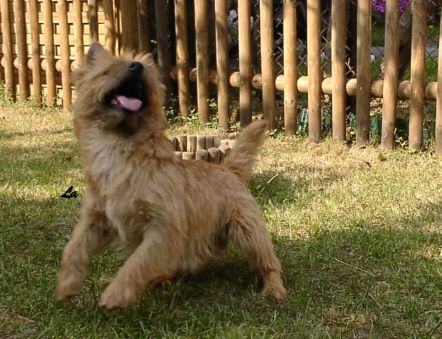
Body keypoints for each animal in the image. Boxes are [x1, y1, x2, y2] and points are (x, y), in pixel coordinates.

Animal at [56, 41, 286, 308]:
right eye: (109, 69)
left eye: (146, 68)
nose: (137, 67)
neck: (119, 151)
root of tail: (229, 169)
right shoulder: (96, 221)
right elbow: (73, 248)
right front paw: (67, 284)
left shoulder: (163, 228)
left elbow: (136, 264)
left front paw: (115, 293)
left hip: (248, 230)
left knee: (268, 261)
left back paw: (274, 288)